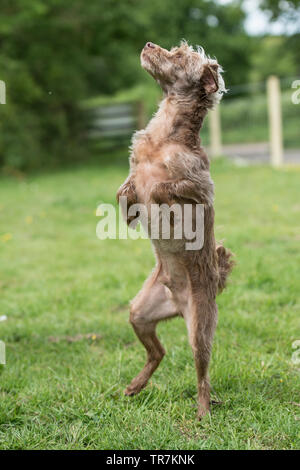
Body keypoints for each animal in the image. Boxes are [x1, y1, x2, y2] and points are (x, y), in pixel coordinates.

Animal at [117, 42, 234, 420]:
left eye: (181, 55)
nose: (149, 45)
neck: (164, 135)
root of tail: (178, 303)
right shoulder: (133, 166)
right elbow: (126, 189)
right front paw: (128, 207)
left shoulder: (200, 187)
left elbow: (162, 187)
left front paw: (154, 197)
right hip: (140, 313)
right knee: (159, 353)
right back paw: (135, 385)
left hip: (200, 328)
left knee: (203, 377)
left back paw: (203, 413)